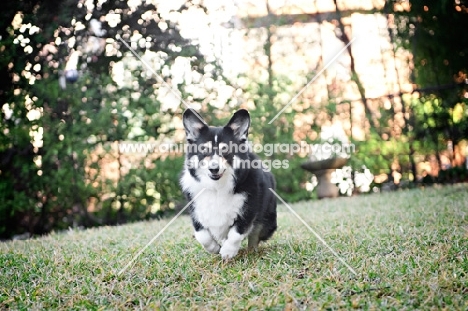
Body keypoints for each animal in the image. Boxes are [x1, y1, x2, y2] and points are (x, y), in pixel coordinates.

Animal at [178, 108, 274, 260]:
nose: (214, 169)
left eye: (226, 150)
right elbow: (202, 235)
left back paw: (251, 251)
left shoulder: (248, 211)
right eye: (204, 150)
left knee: (255, 234)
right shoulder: (195, 212)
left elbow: (237, 232)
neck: (217, 187)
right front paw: (214, 248)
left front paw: (228, 251)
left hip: (267, 221)